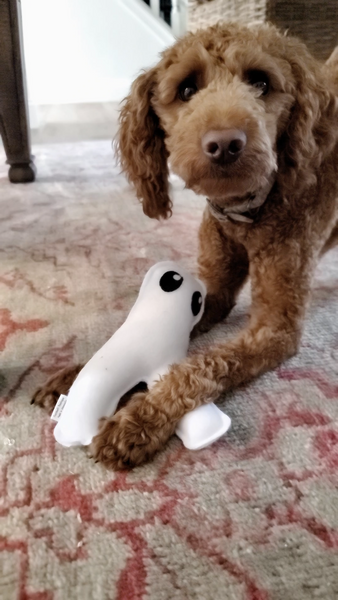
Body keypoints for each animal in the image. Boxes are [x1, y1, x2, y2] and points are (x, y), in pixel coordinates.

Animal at [31, 22, 338, 468]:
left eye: (261, 82)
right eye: (187, 89)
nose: (225, 143)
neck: (247, 215)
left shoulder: (276, 328)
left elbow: (203, 365)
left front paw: (139, 420)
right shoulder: (214, 290)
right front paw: (76, 372)